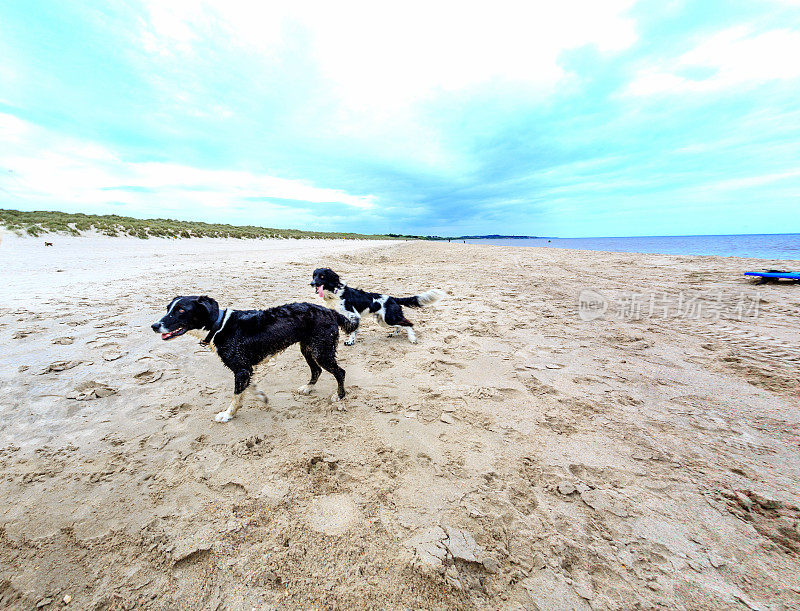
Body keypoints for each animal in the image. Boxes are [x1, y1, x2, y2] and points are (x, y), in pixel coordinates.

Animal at [152, 296, 358, 420]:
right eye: (168, 308)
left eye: (180, 310)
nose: (154, 326)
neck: (219, 325)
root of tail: (331, 311)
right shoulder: (245, 369)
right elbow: (248, 388)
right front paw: (261, 396)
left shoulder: (241, 368)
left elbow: (236, 395)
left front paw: (227, 415)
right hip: (308, 349)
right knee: (316, 370)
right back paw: (308, 388)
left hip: (321, 350)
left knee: (340, 372)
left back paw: (339, 396)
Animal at [310, 268, 444, 344]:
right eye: (314, 275)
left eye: (322, 276)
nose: (311, 283)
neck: (335, 292)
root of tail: (392, 298)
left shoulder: (354, 315)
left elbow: (353, 330)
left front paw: (350, 342)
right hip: (383, 321)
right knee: (401, 325)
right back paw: (394, 334)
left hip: (389, 318)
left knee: (408, 324)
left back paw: (412, 338)